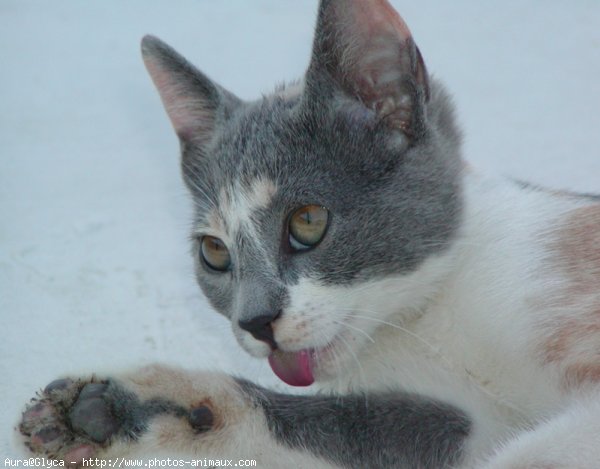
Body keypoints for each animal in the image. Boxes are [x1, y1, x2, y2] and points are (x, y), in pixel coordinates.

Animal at [17, 0, 600, 466]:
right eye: (214, 252)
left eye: (308, 221)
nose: (255, 321)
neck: (428, 319)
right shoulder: (467, 422)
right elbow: (365, 428)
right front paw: (118, 411)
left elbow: (531, 453)